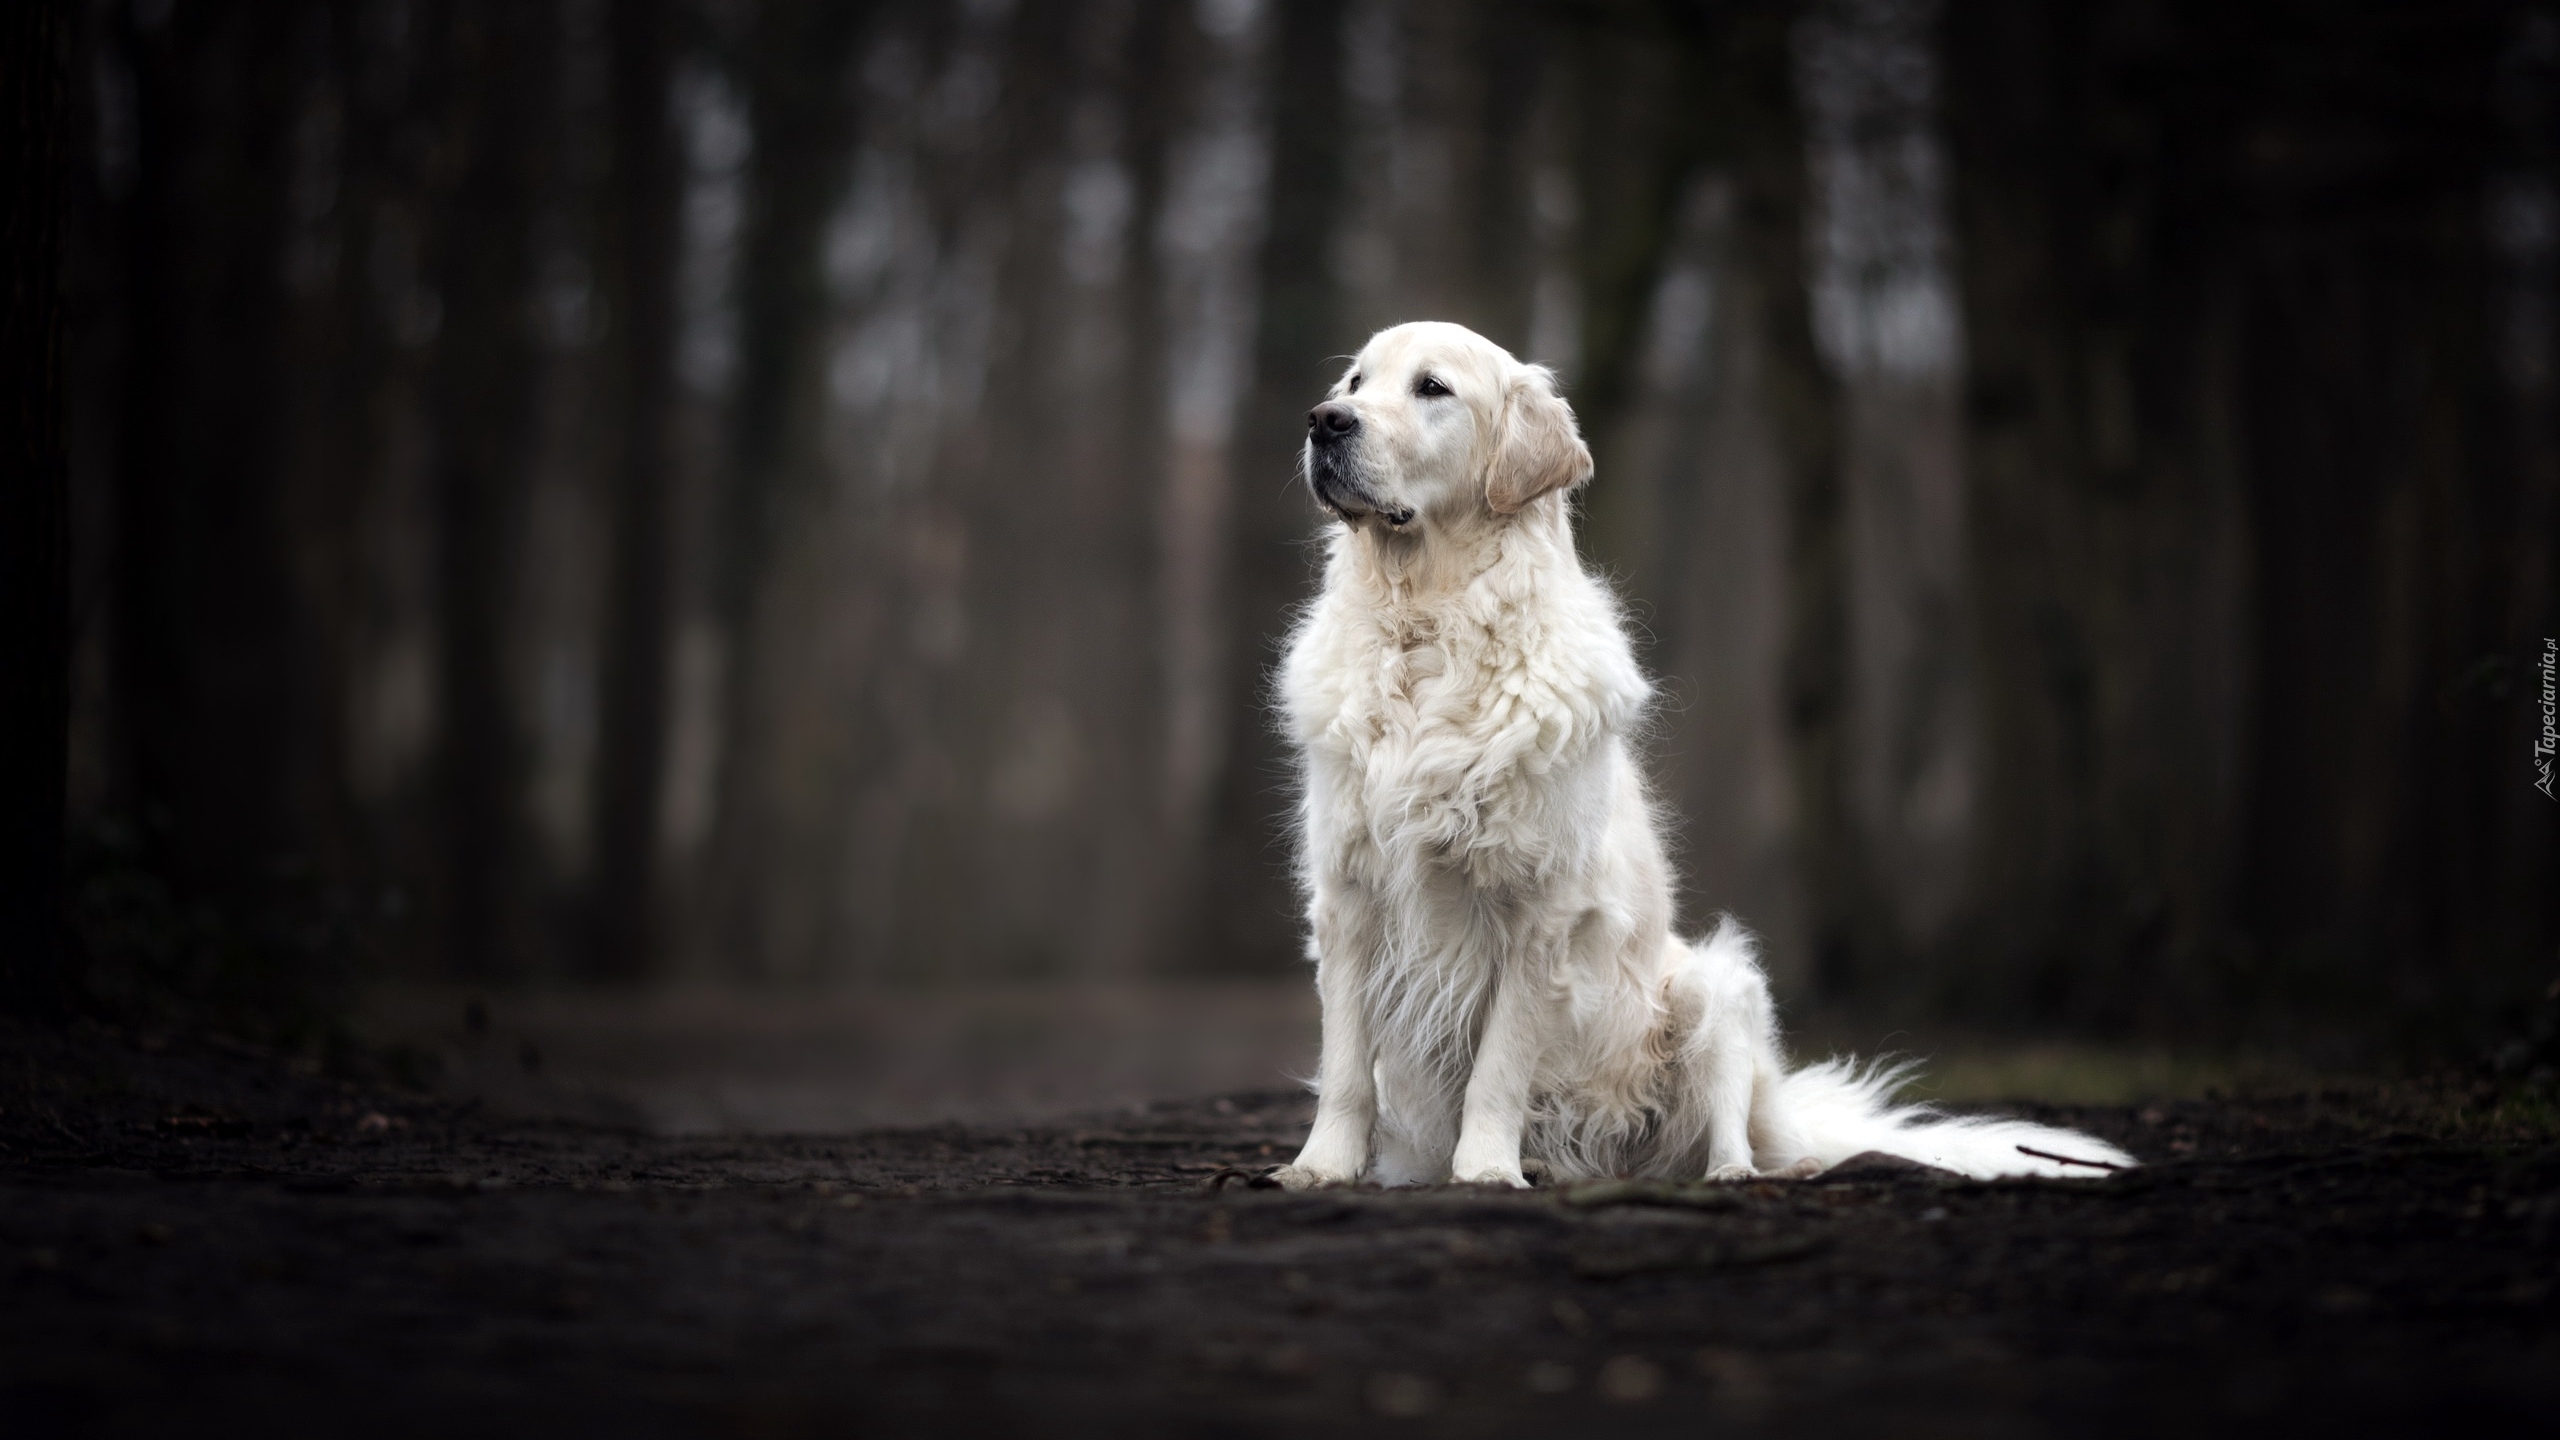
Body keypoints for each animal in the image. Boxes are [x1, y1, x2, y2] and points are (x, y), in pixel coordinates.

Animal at [1269, 319, 2129, 1183]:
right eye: (1354, 383)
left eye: (1432, 388)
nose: (1323, 421)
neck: (1427, 630)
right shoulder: (1346, 894)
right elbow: (1346, 1068)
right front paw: (1322, 1166)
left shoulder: (1539, 909)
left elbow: (1498, 1069)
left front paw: (1485, 1169)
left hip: (1716, 987)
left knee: (1736, 1126)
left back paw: (1739, 1171)